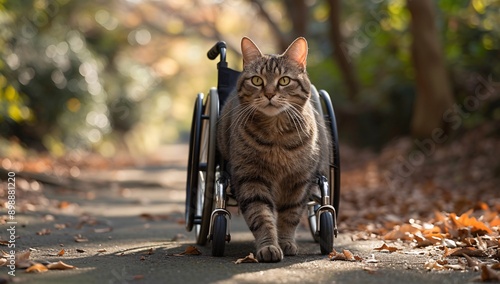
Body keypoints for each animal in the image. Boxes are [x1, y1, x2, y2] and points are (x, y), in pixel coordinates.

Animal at [217, 36, 330, 262]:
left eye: (284, 81)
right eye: (257, 80)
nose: (269, 94)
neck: (276, 134)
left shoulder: (298, 181)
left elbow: (290, 215)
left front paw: (286, 241)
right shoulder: (251, 179)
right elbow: (261, 215)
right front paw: (269, 246)